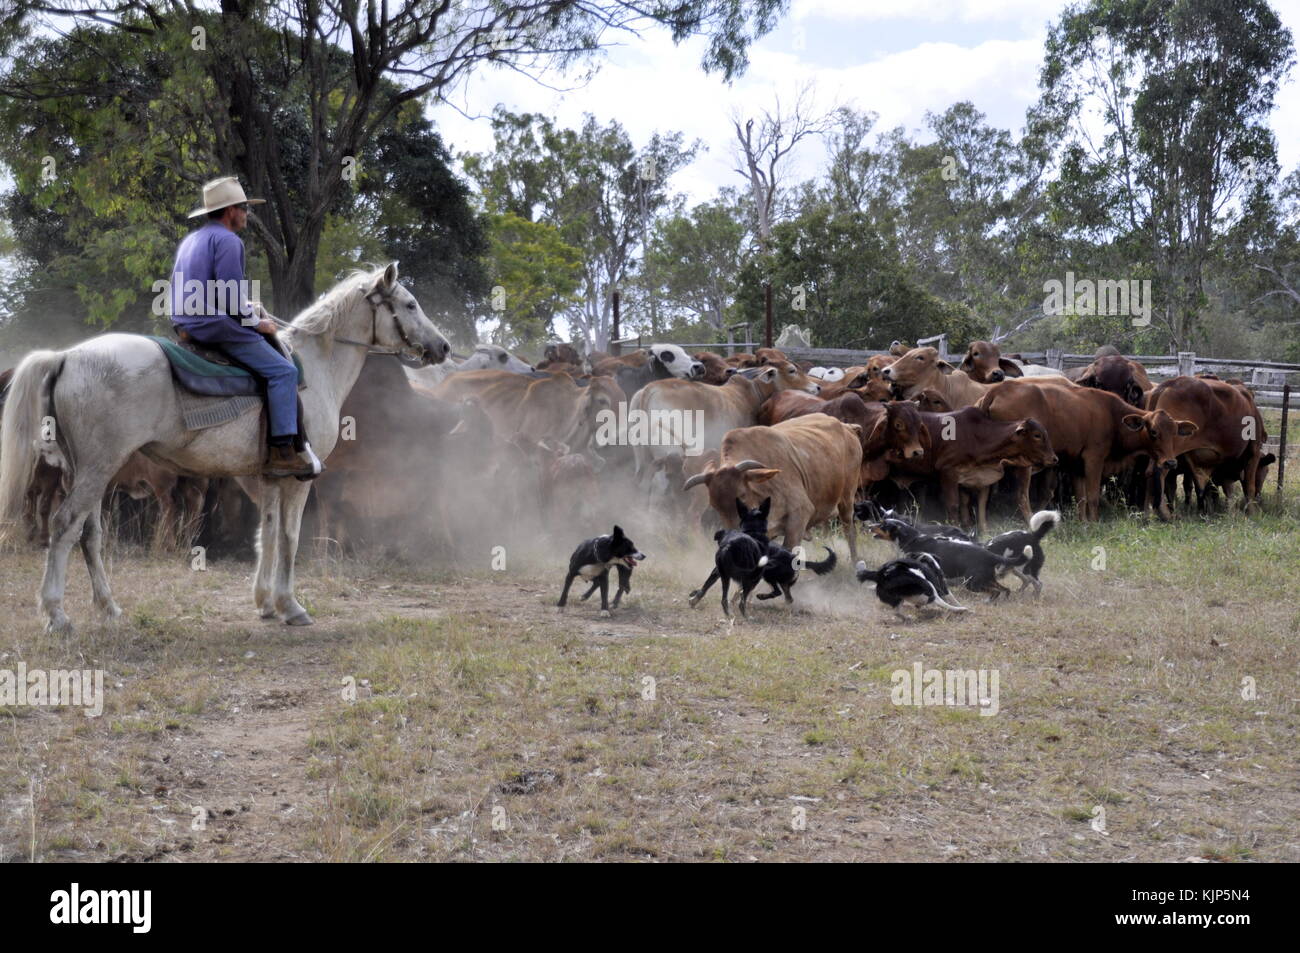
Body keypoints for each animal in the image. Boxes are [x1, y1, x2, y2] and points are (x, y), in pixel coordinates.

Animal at [682, 413, 861, 563]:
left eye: (742, 495)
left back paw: (855, 563)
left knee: (850, 531)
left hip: (847, 499)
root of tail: (846, 427)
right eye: (715, 505)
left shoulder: (800, 514)